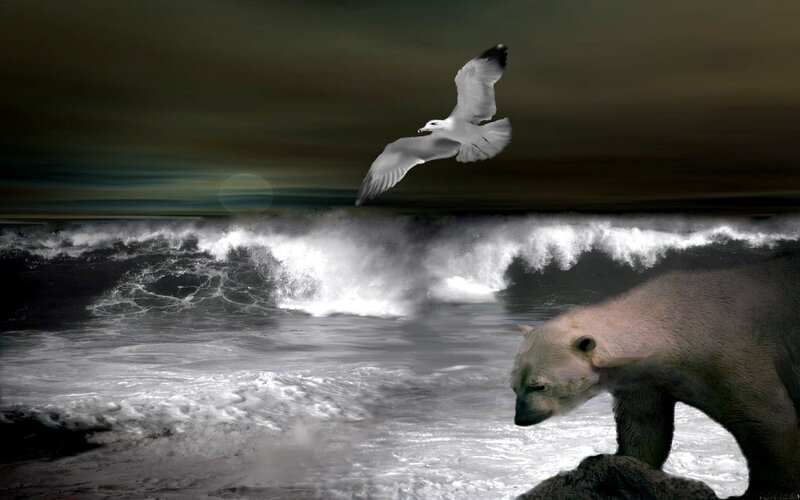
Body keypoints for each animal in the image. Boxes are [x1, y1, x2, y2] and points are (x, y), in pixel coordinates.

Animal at [511, 253, 800, 498]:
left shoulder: (731, 356)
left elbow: (767, 418)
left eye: (539, 386)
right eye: (514, 386)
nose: (521, 419)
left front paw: (764, 493)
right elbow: (643, 425)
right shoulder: (645, 380)